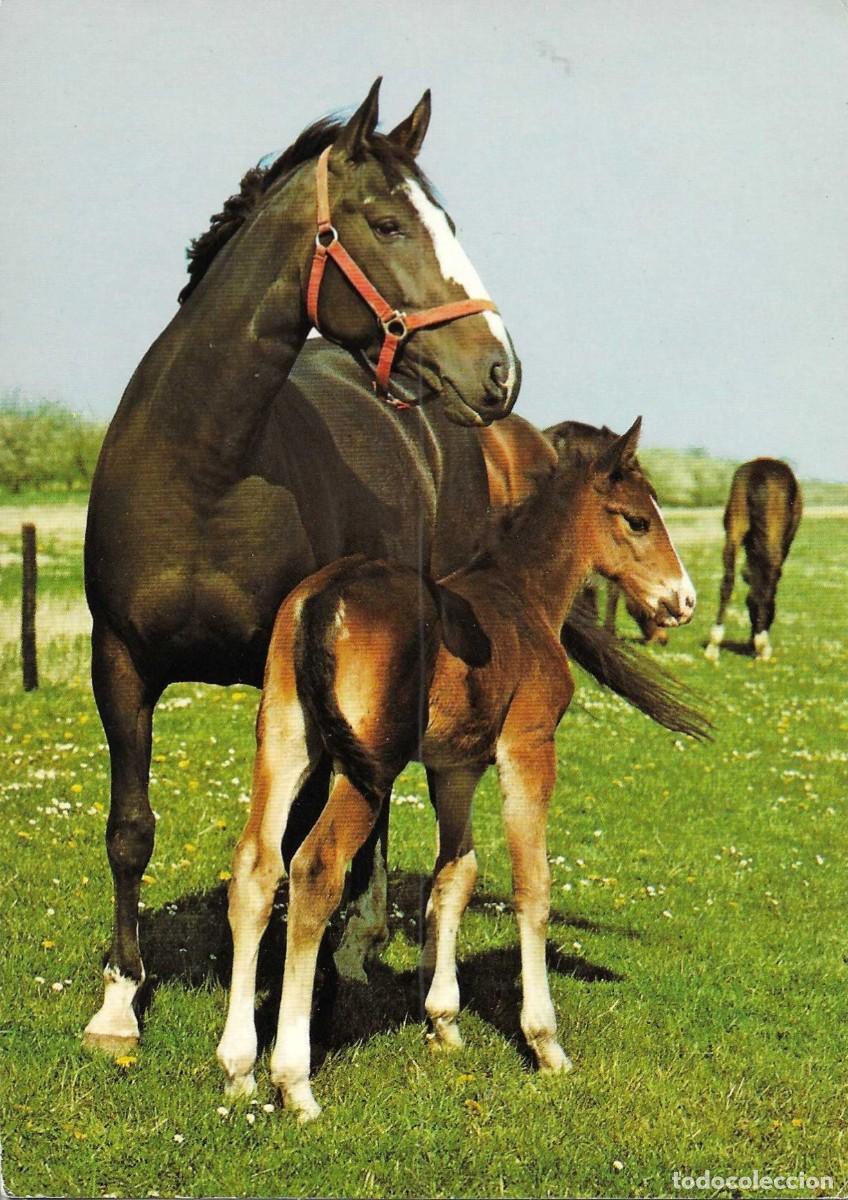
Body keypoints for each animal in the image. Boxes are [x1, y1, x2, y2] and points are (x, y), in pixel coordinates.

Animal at [82, 79, 522, 1054]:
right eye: (389, 224)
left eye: (451, 223)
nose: (499, 371)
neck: (204, 468)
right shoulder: (119, 662)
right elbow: (130, 829)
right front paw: (119, 1004)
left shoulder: (296, 673)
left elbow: (301, 843)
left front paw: (296, 1005)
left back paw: (360, 952)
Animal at [216, 417, 697, 1120]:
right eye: (637, 519)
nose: (683, 601)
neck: (523, 598)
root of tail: (320, 600)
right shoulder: (527, 749)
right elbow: (533, 886)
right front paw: (545, 1043)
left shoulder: (456, 767)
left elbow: (455, 876)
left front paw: (444, 1021)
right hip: (368, 770)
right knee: (314, 870)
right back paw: (293, 1081)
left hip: (285, 742)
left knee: (256, 868)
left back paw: (238, 1067)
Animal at [705, 458, 802, 662]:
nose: (750, 644)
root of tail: (758, 472)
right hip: (773, 542)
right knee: (767, 585)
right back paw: (762, 647)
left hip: (734, 531)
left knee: (727, 582)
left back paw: (713, 646)